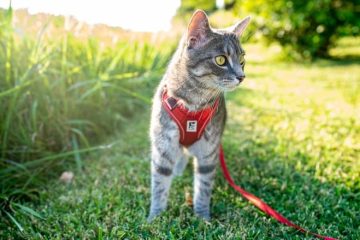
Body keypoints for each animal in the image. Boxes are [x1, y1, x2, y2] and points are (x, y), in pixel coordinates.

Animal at [148, 10, 250, 221]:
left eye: (242, 60)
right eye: (221, 60)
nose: (242, 76)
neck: (194, 102)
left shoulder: (208, 152)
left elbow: (203, 187)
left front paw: (202, 217)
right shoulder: (163, 146)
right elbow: (159, 184)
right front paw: (154, 217)